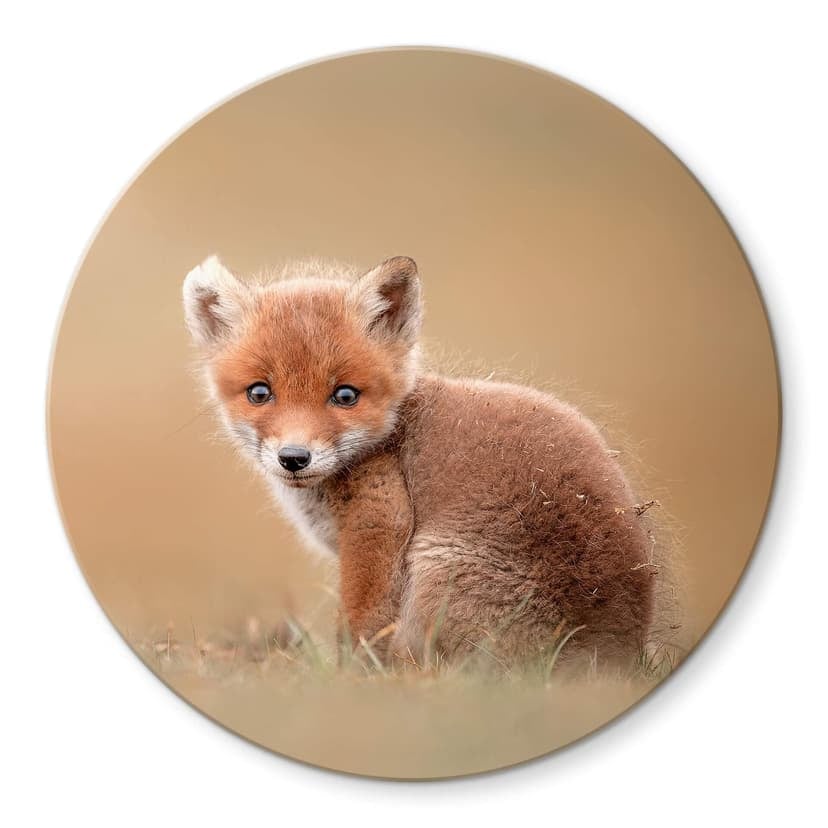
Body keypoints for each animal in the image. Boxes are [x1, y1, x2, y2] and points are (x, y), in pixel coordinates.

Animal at [183, 254, 659, 670]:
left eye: (345, 395)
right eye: (259, 393)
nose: (294, 458)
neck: (390, 436)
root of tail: (613, 654)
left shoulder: (379, 523)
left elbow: (361, 626)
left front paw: (350, 682)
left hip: (434, 570)